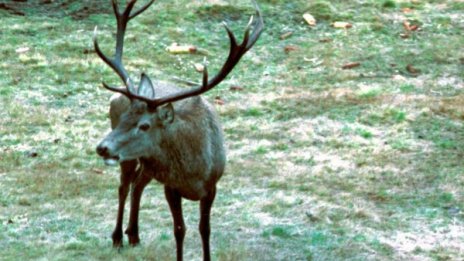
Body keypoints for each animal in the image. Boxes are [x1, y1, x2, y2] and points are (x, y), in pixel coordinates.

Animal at [92, 0, 262, 260]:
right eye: (124, 118)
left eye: (144, 125)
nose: (102, 147)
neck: (193, 170)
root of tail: (117, 94)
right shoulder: (170, 186)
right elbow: (179, 230)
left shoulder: (212, 185)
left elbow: (205, 229)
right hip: (129, 159)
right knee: (124, 186)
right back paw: (118, 238)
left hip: (148, 164)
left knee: (137, 184)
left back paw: (134, 235)